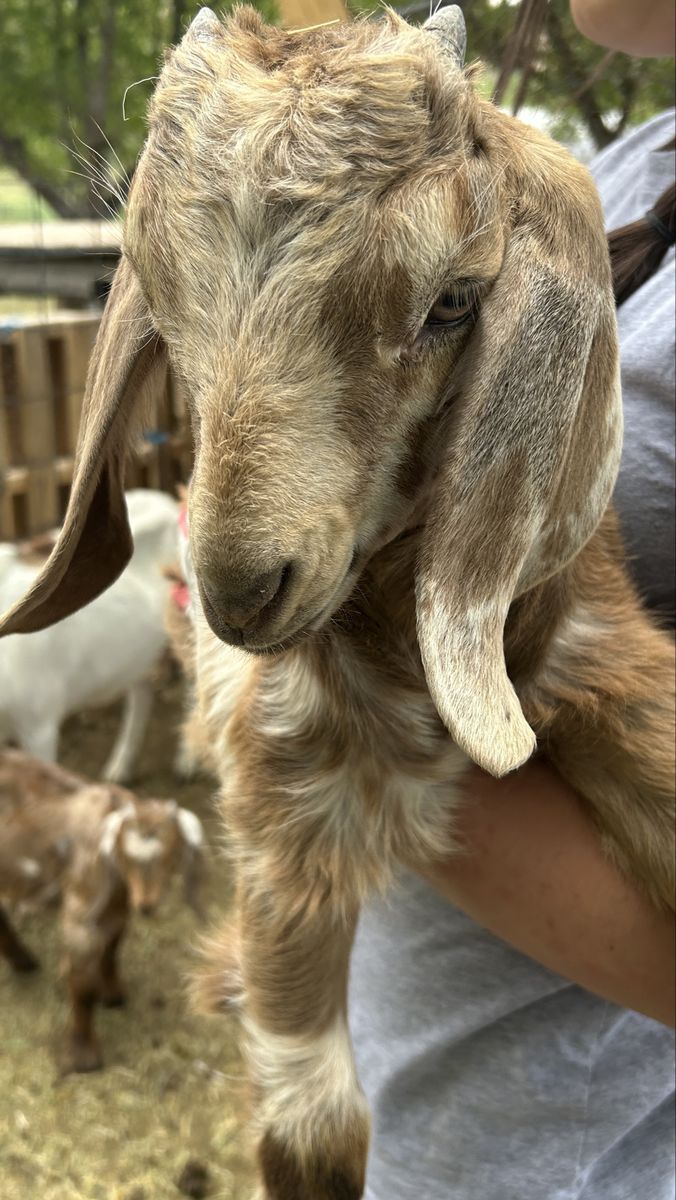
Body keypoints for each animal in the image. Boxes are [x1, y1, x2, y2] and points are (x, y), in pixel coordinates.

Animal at [0, 749, 205, 1072]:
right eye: (126, 856)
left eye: (170, 855)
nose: (147, 904)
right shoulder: (81, 920)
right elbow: (83, 988)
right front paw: (83, 1056)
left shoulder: (116, 911)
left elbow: (112, 949)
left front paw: (114, 994)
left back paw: (24, 961)